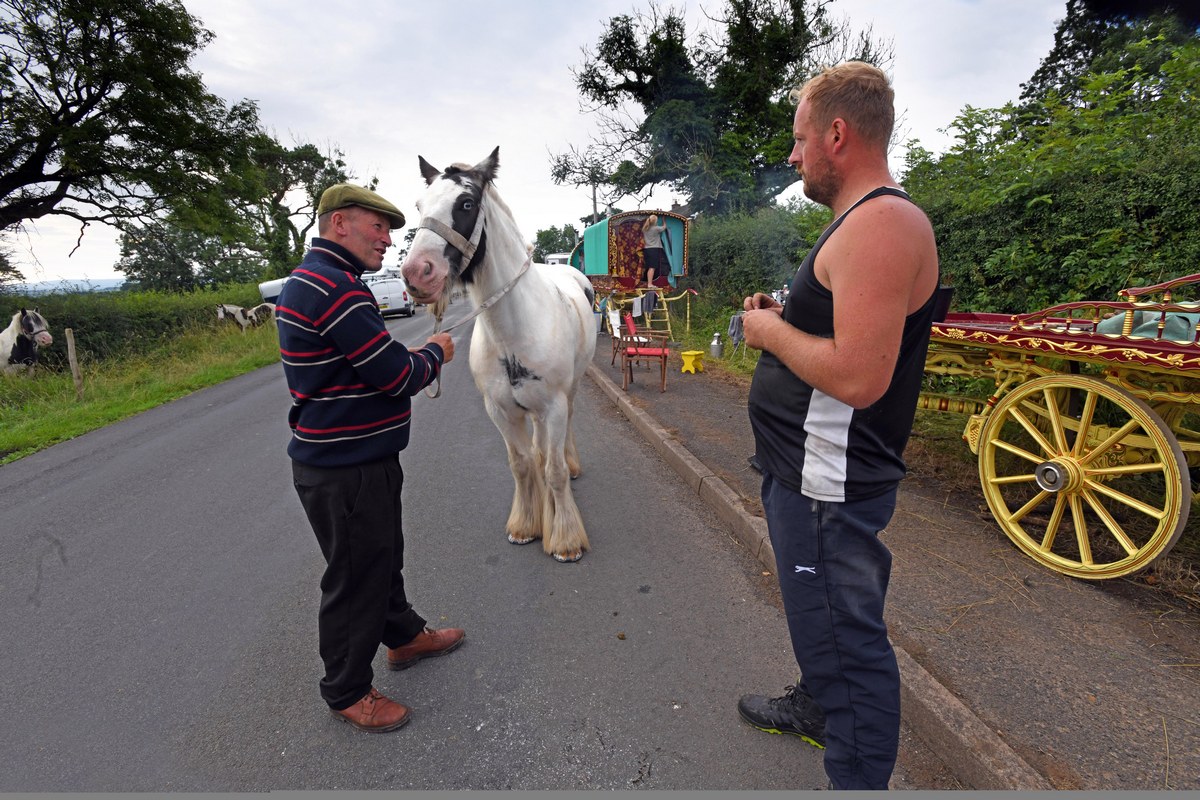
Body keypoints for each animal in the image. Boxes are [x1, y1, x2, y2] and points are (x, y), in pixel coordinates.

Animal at [400, 148, 600, 563]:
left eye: (466, 203)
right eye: (420, 205)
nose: (416, 274)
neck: (514, 331)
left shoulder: (554, 406)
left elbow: (553, 470)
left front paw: (566, 540)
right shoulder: (501, 410)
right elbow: (522, 465)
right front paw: (525, 525)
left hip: (570, 392)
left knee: (563, 441)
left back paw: (571, 465)